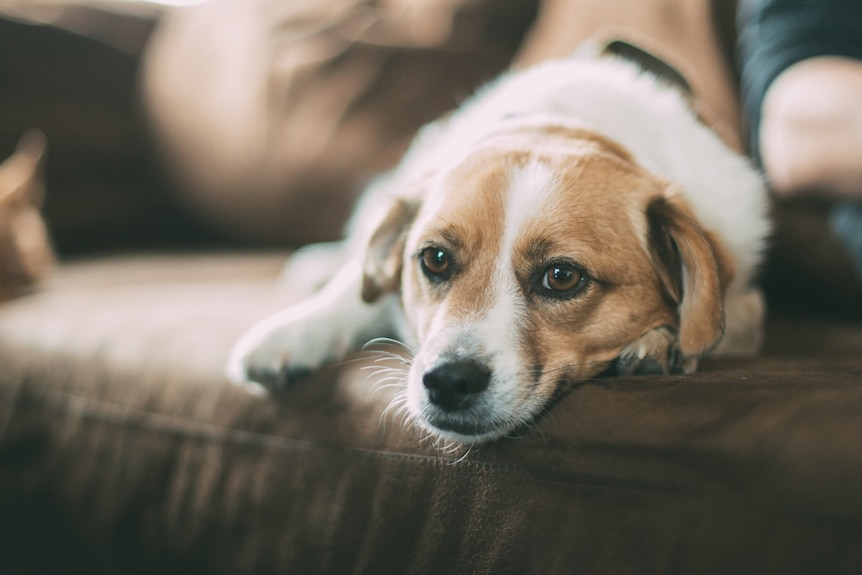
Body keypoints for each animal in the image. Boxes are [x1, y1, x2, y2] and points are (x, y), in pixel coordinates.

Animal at [226, 53, 772, 446]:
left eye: (562, 276)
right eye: (434, 259)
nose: (448, 381)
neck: (565, 125)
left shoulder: (745, 301)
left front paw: (661, 341)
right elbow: (354, 291)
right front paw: (293, 333)